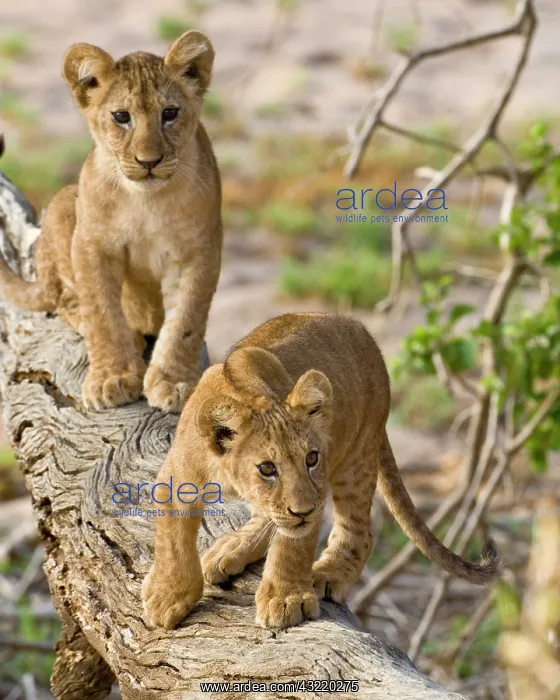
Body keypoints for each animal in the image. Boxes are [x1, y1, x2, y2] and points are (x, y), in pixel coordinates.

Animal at [0, 31, 222, 411]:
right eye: (121, 116)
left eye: (169, 113)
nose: (149, 161)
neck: (146, 201)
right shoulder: (92, 245)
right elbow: (102, 314)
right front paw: (112, 379)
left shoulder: (199, 252)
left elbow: (186, 322)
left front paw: (173, 382)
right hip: (63, 204)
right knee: (64, 300)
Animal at [142, 312, 499, 630]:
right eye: (267, 468)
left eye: (311, 459)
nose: (301, 510)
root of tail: (359, 329)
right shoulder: (177, 479)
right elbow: (173, 542)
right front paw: (168, 597)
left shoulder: (316, 489)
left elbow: (293, 545)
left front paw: (286, 600)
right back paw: (231, 549)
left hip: (356, 456)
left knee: (360, 532)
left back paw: (330, 571)